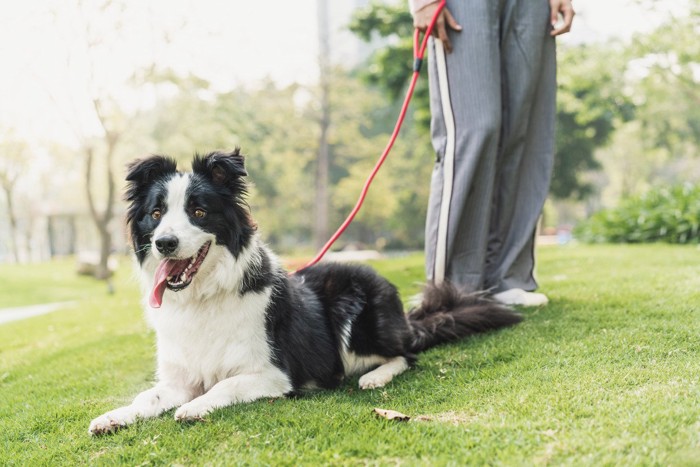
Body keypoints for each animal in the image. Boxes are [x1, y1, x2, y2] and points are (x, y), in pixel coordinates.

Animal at [87, 152, 524, 436]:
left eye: (198, 211)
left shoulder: (273, 374)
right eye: (156, 213)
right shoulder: (178, 378)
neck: (203, 297)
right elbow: (148, 398)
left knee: (406, 355)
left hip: (356, 316)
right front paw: (114, 416)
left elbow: (223, 385)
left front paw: (196, 406)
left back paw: (375, 377)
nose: (164, 243)